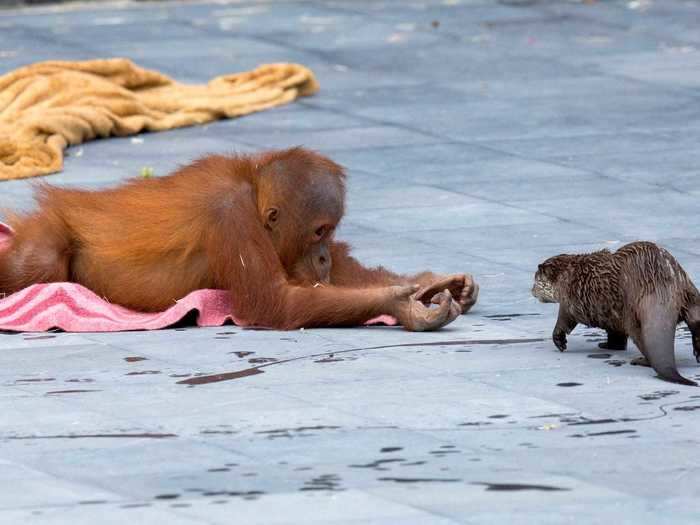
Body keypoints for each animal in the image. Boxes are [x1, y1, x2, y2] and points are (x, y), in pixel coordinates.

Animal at [532, 242, 696, 384]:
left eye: (535, 281)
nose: (531, 291)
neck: (566, 275)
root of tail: (660, 288)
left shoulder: (569, 301)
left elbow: (564, 321)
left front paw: (560, 341)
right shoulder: (611, 313)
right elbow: (616, 334)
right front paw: (608, 345)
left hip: (633, 316)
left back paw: (641, 361)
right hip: (690, 293)